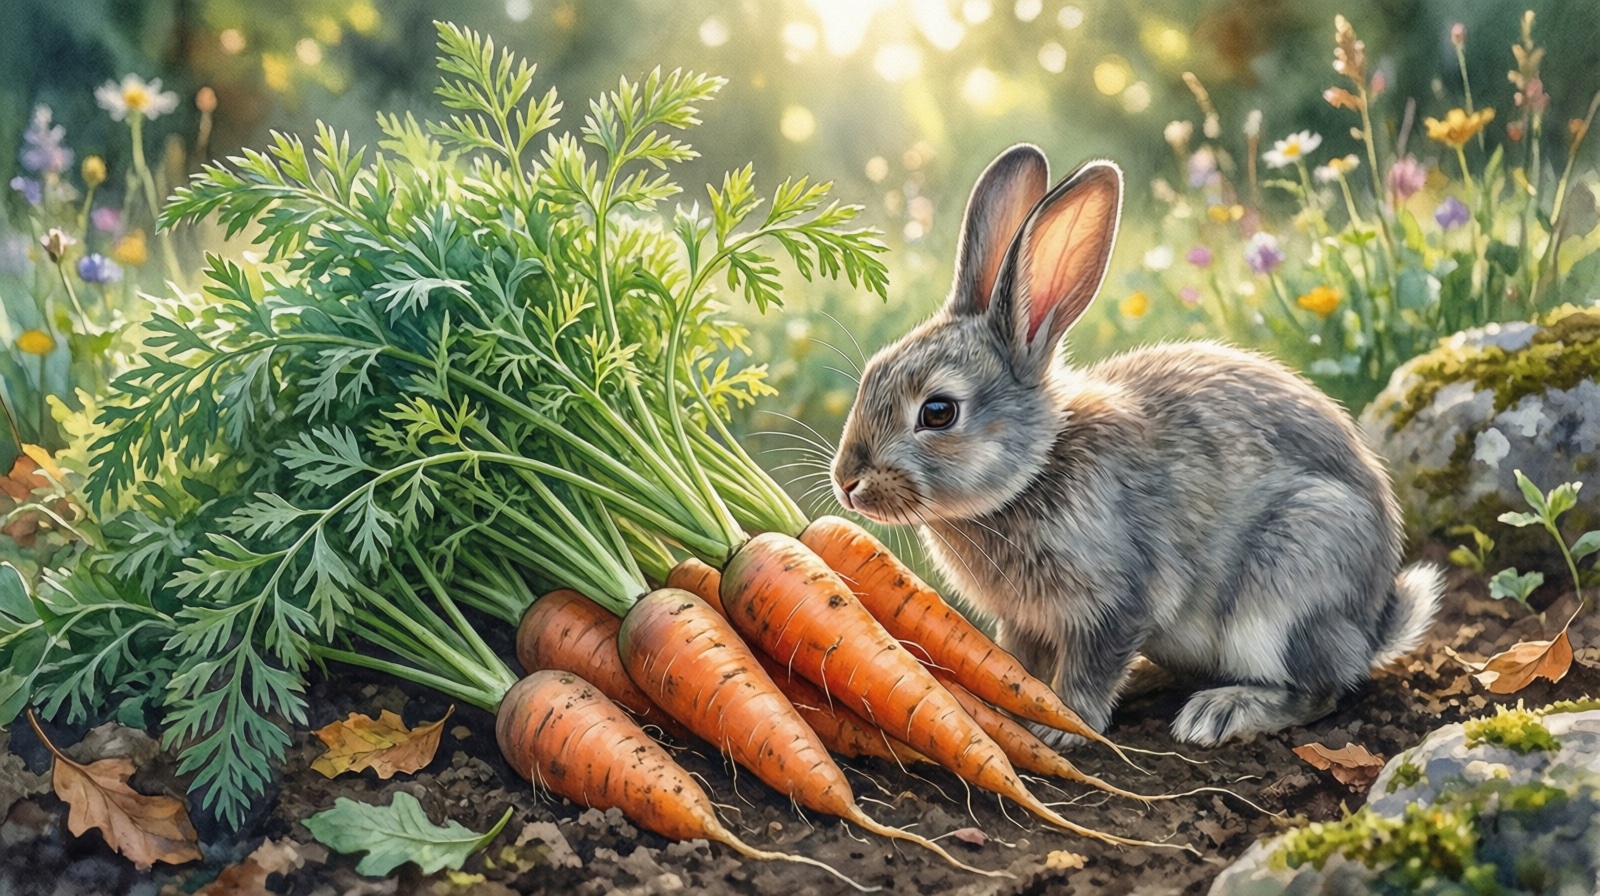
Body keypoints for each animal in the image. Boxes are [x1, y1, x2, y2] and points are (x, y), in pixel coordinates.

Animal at [828, 144, 1443, 747]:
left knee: (1321, 690)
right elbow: (1014, 664)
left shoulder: (1118, 600)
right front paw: (1008, 705)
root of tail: (1372, 624)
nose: (847, 482)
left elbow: (1089, 669)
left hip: (1288, 585)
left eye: (938, 412)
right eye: (872, 374)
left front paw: (1060, 728)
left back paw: (1220, 713)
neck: (1036, 469)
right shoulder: (1023, 621)